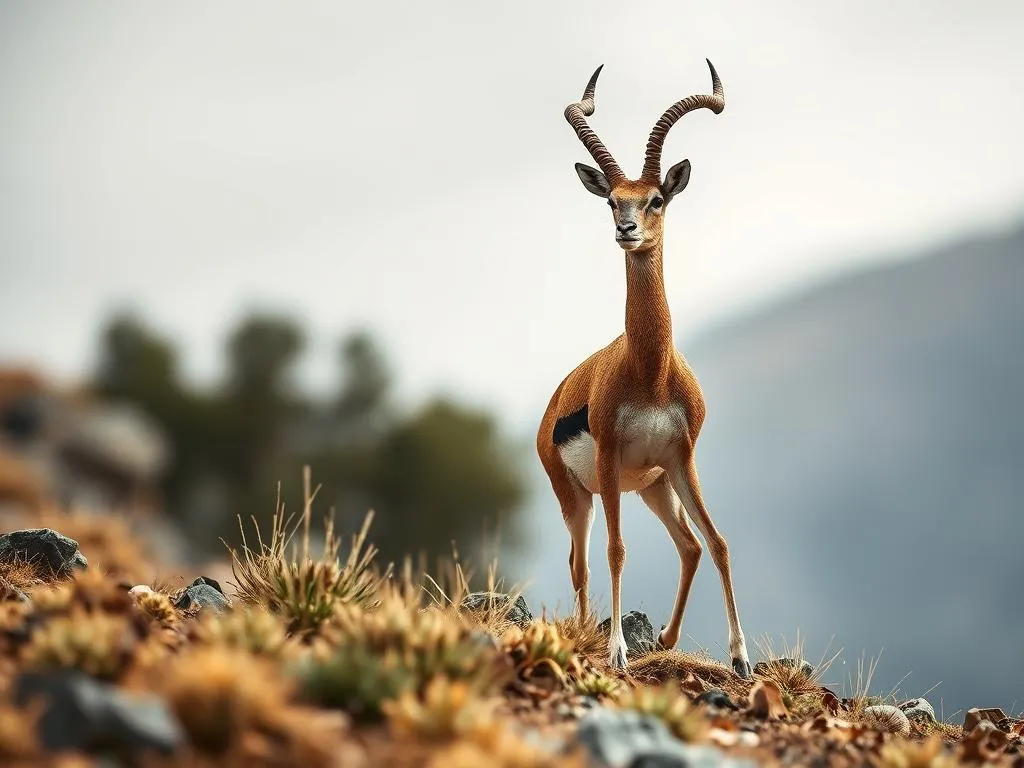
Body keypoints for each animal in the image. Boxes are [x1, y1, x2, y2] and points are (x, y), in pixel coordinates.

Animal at [536, 60, 753, 675]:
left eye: (656, 198)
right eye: (613, 199)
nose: (625, 230)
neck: (651, 370)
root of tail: (552, 403)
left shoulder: (682, 457)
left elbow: (720, 542)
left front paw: (742, 657)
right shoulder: (610, 460)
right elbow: (617, 551)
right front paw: (615, 652)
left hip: (656, 487)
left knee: (690, 545)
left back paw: (666, 639)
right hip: (578, 495)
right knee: (581, 561)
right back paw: (589, 633)